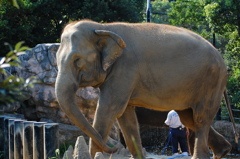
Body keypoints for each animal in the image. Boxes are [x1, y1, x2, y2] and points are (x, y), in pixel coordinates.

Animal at [54, 20, 231, 159]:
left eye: (77, 60)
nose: (115, 148)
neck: (103, 27)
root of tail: (221, 57)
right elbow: (126, 116)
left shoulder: (125, 68)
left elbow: (109, 109)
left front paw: (96, 155)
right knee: (189, 117)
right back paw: (223, 151)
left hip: (212, 81)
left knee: (201, 117)